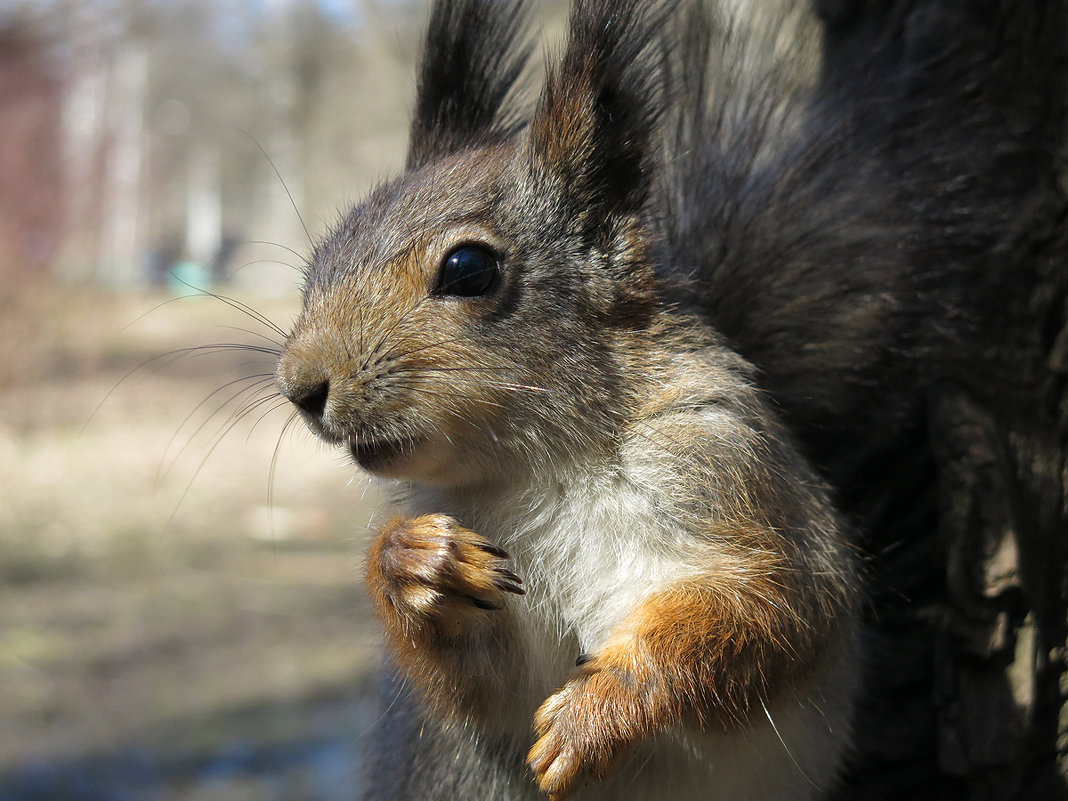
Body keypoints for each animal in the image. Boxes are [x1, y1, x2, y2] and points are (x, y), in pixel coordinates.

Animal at [273, 0, 1068, 798]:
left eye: (469, 268)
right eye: (318, 265)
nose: (301, 387)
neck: (539, 466)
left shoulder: (727, 466)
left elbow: (764, 612)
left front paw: (598, 710)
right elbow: (489, 687)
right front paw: (412, 561)